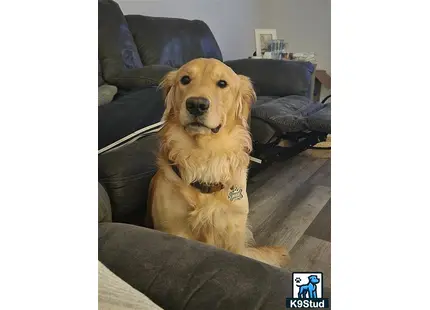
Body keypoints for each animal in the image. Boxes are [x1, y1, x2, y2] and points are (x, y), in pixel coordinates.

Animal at [147, 58, 288, 268]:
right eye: (185, 79)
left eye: (222, 83)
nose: (196, 104)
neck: (204, 155)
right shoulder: (172, 228)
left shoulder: (233, 232)